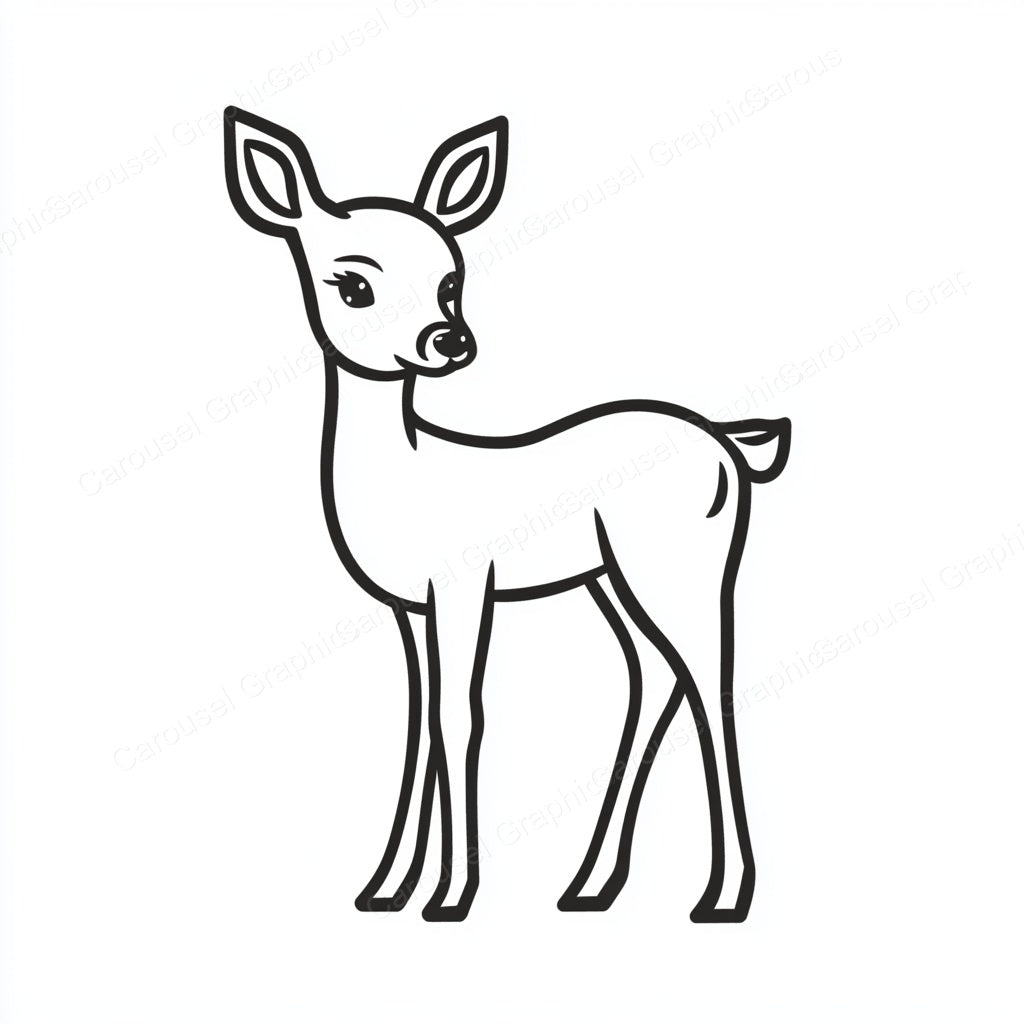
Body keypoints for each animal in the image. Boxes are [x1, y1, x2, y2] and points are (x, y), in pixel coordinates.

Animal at [223, 106, 791, 922]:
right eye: (353, 284)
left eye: (450, 280)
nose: (449, 340)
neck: (407, 474)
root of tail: (729, 445)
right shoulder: (411, 608)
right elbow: (419, 722)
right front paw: (385, 889)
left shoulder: (465, 587)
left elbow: (462, 717)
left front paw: (450, 897)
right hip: (608, 578)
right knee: (655, 677)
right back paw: (590, 886)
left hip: (682, 562)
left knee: (711, 681)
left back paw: (722, 897)